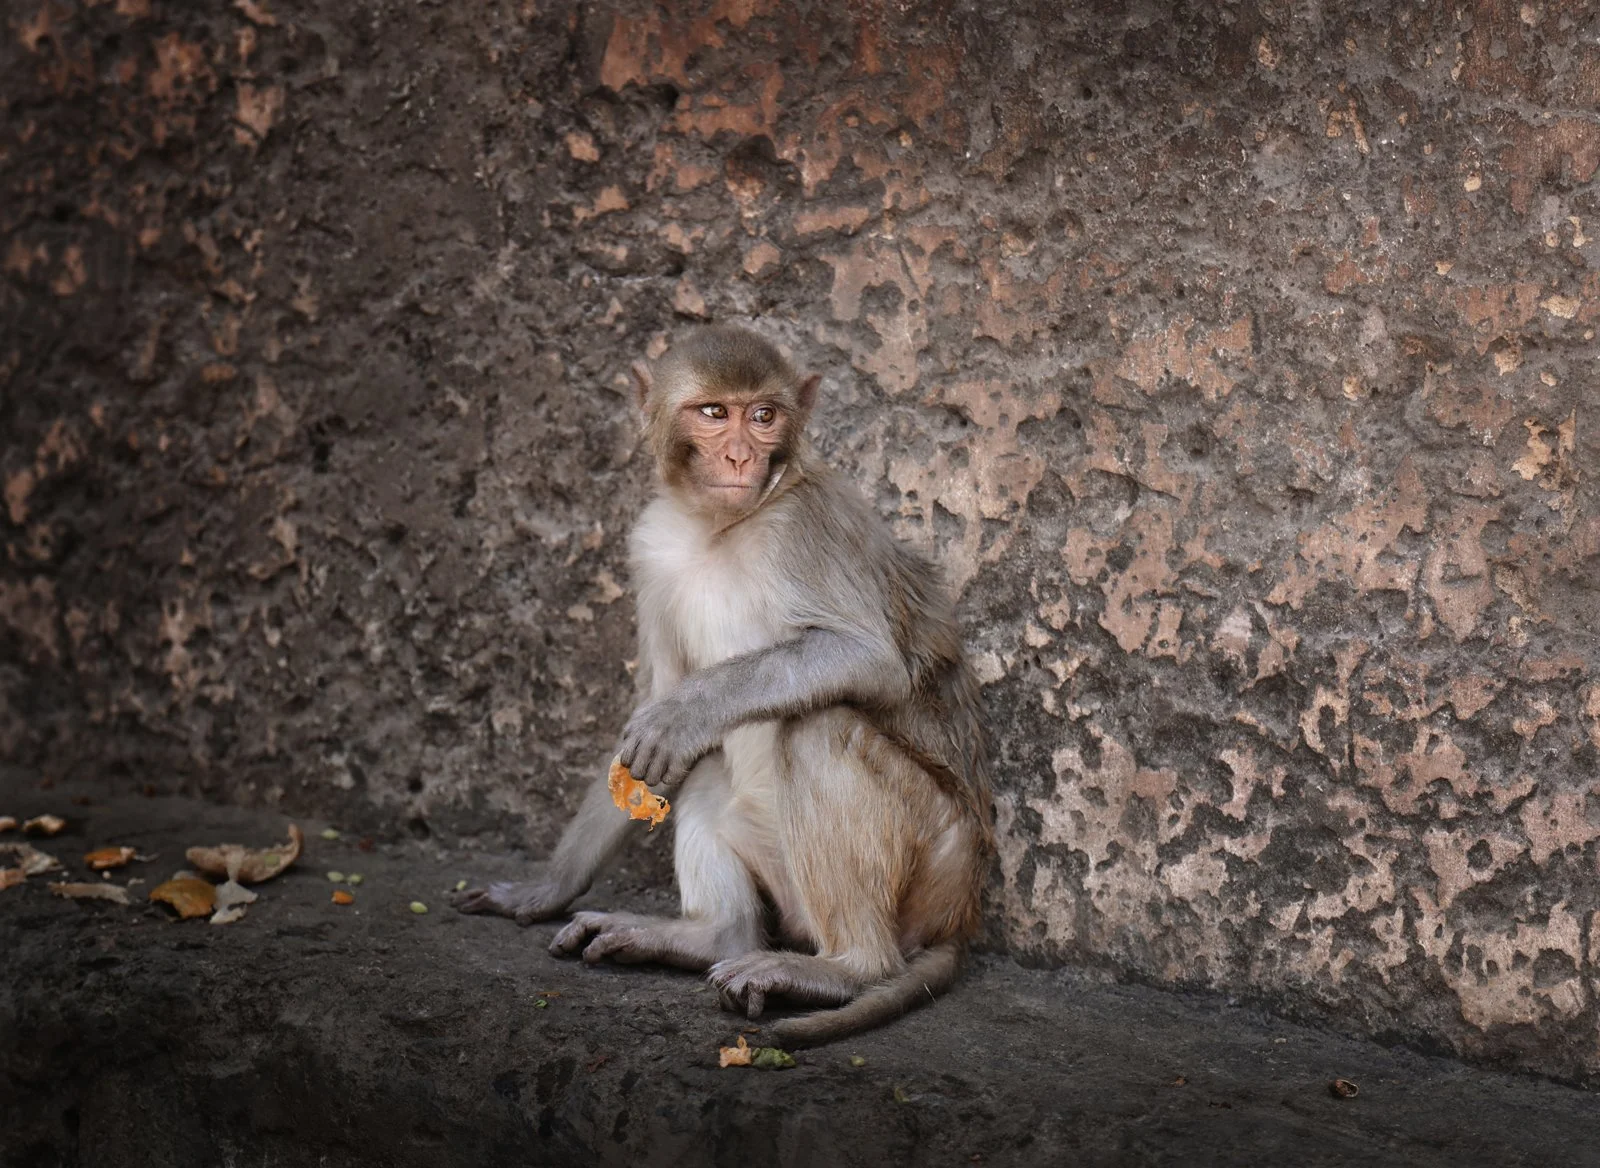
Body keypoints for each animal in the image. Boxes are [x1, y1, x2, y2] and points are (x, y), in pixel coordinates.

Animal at [455, 324, 992, 1046]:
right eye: (714, 413)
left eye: (763, 416)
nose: (740, 455)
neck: (721, 527)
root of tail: (961, 915)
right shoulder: (651, 549)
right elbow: (646, 720)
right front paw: (548, 887)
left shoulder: (804, 528)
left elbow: (865, 655)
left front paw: (686, 713)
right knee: (709, 768)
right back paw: (711, 937)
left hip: (936, 863)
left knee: (815, 723)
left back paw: (844, 968)